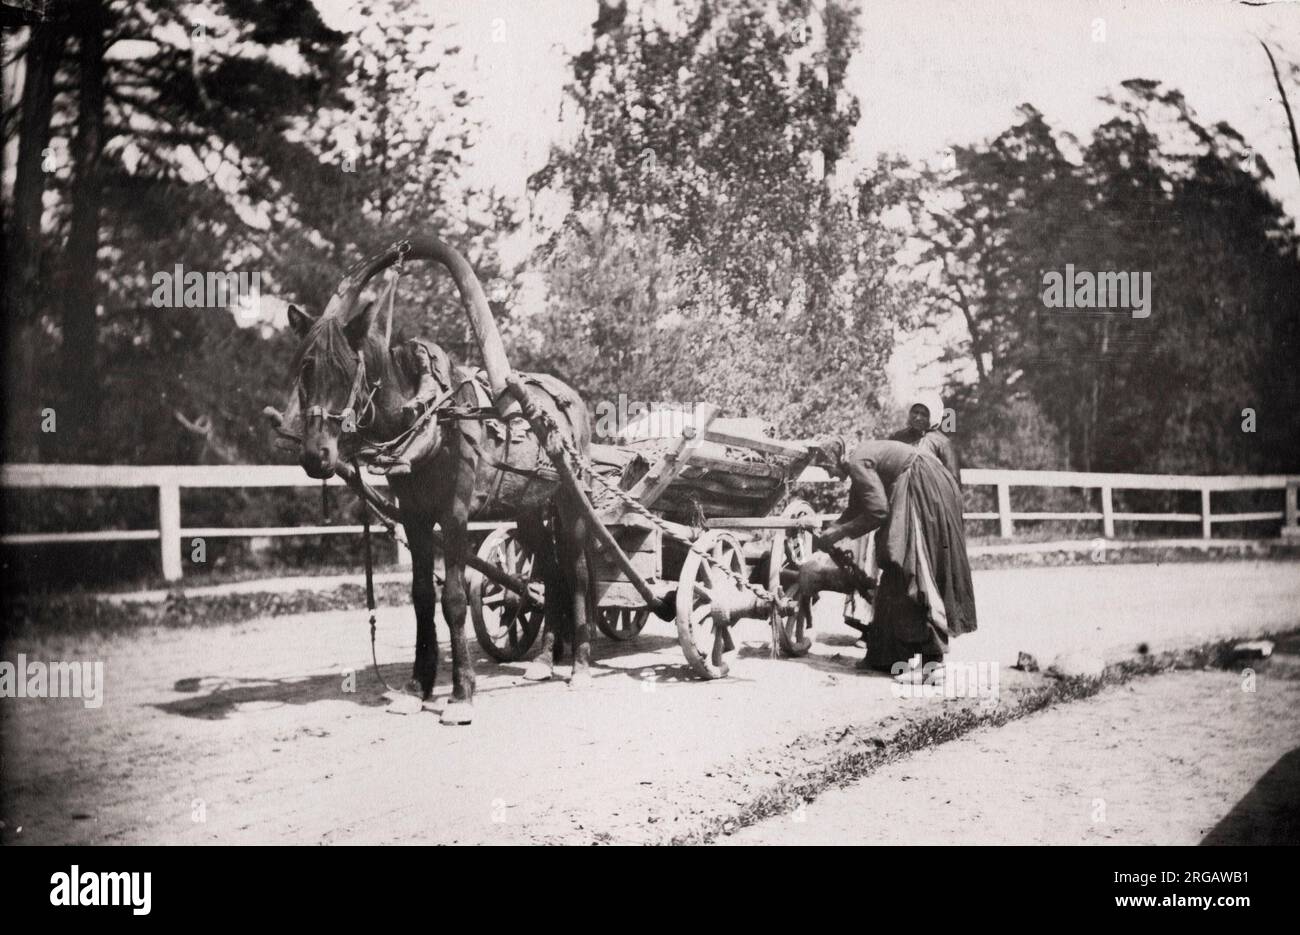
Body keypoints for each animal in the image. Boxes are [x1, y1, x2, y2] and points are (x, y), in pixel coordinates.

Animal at [287, 235, 595, 723]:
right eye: (305, 369)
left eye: (346, 370)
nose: (317, 455)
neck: (432, 418)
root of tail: (571, 400)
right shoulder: (415, 517)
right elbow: (421, 598)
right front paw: (418, 686)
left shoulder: (453, 515)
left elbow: (452, 598)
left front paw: (461, 692)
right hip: (528, 509)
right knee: (549, 573)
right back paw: (545, 660)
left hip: (570, 499)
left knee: (578, 573)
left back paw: (580, 665)